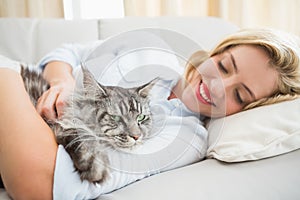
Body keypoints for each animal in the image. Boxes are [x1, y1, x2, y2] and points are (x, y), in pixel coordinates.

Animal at [20, 65, 157, 184]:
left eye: (141, 117)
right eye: (116, 117)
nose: (136, 136)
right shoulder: (60, 124)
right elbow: (84, 138)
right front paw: (96, 165)